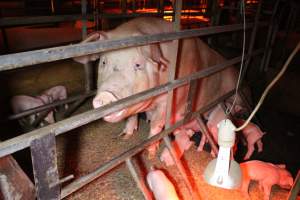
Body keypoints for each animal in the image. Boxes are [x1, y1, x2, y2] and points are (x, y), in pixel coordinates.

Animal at [74, 17, 243, 157]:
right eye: (103, 62)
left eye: (138, 65)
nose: (106, 95)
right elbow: (132, 116)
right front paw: (124, 137)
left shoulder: (170, 100)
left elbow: (156, 124)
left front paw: (149, 153)